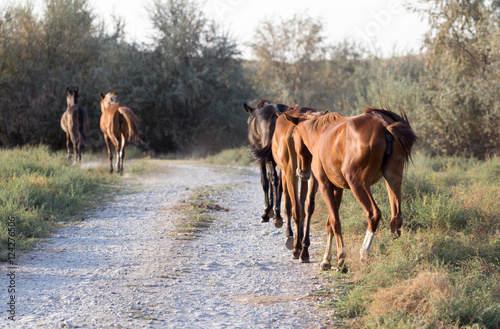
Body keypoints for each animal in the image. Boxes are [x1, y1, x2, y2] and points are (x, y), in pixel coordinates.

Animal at [272, 105, 322, 262]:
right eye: (301, 138)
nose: (304, 171)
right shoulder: (289, 174)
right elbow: (295, 207)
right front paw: (297, 245)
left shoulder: (309, 176)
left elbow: (306, 207)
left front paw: (302, 247)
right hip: (290, 174)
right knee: (294, 205)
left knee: (300, 205)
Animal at [286, 105, 418, 272]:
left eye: (293, 136)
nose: (302, 173)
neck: (322, 132)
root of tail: (384, 124)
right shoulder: (338, 189)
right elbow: (329, 223)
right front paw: (326, 260)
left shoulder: (325, 187)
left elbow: (335, 222)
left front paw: (341, 260)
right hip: (393, 180)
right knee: (396, 218)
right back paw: (396, 256)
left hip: (358, 185)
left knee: (373, 214)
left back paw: (364, 253)